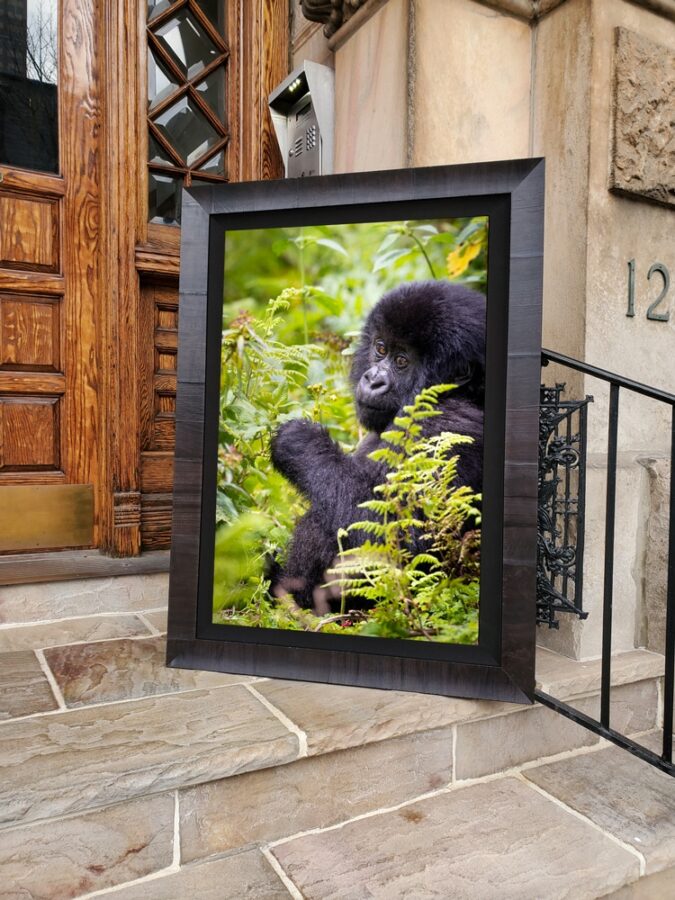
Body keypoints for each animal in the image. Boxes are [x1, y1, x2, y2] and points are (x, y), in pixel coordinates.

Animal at [270, 278, 486, 608]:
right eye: (380, 349)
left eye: (401, 361)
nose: (372, 380)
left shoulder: (450, 428)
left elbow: (404, 541)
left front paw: (299, 442)